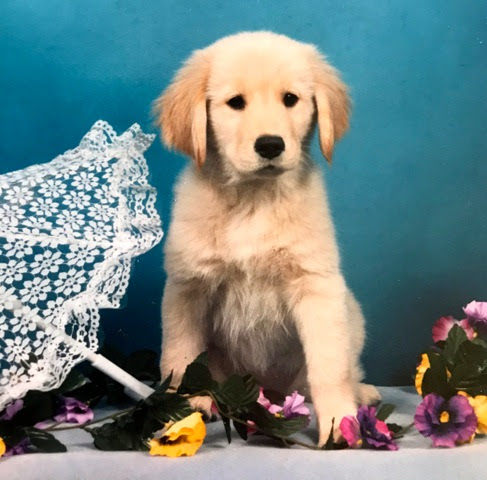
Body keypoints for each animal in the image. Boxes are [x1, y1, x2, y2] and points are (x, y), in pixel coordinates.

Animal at [155, 31, 382, 446]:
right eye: (235, 103)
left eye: (290, 99)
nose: (271, 145)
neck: (253, 199)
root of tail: (267, 393)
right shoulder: (188, 287)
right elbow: (180, 357)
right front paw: (181, 411)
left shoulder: (316, 287)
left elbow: (330, 365)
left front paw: (339, 423)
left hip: (350, 314)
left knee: (330, 374)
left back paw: (362, 394)